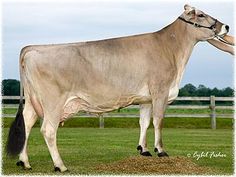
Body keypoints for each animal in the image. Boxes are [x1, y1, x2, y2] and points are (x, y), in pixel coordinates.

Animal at [6, 4, 234, 173]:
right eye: (201, 14)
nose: (226, 27)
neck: (171, 49)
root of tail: (32, 48)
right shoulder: (160, 91)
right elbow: (158, 121)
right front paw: (161, 151)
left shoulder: (146, 98)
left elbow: (144, 122)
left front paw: (143, 150)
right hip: (53, 101)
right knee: (48, 130)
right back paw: (60, 165)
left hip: (33, 101)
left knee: (27, 124)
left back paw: (24, 162)